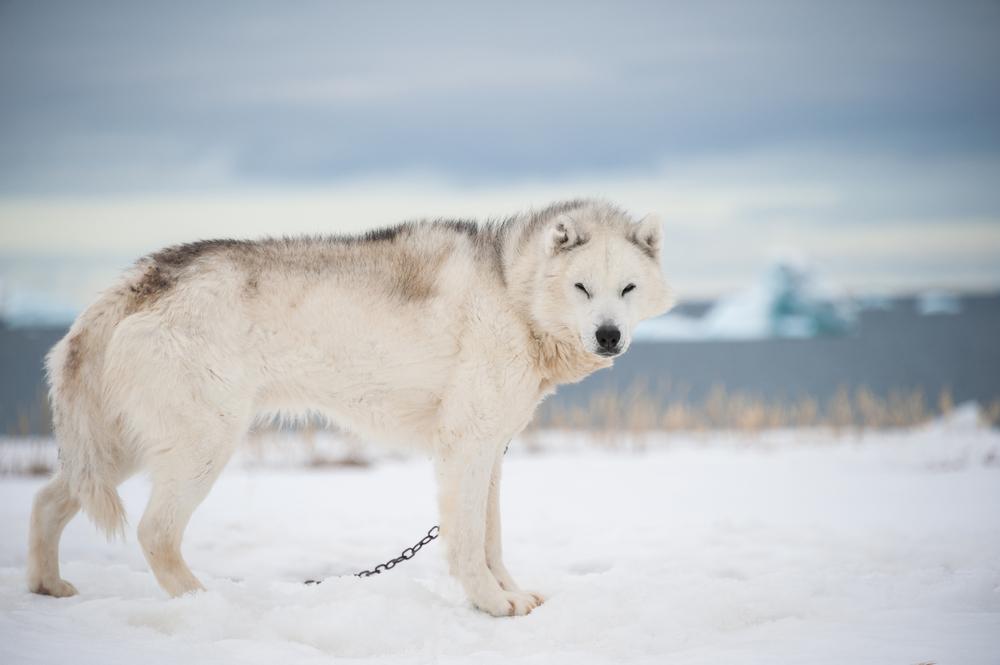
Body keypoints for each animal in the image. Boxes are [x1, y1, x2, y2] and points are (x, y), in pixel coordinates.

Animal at [27, 198, 676, 616]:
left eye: (627, 289)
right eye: (581, 288)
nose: (609, 336)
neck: (512, 293)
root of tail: (144, 276)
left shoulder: (491, 451)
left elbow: (490, 540)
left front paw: (510, 595)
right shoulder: (465, 447)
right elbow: (469, 544)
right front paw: (491, 605)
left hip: (120, 450)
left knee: (48, 499)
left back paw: (47, 586)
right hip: (200, 447)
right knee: (155, 532)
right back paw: (206, 605)